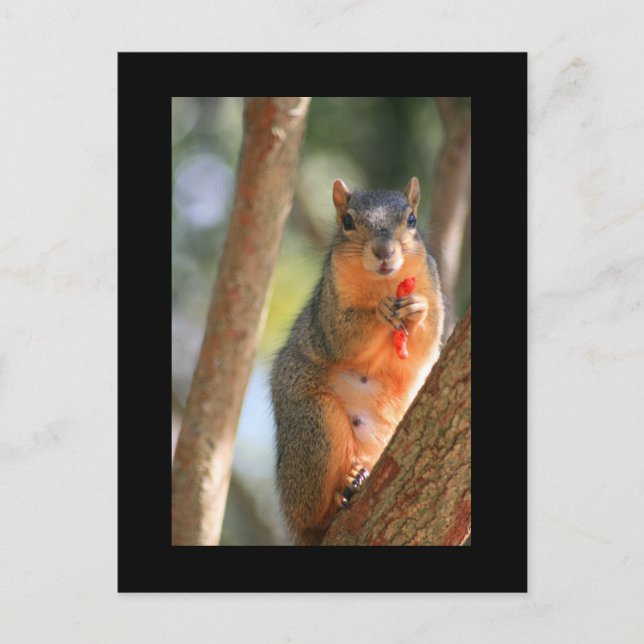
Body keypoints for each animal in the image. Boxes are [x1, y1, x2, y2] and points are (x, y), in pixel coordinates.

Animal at [270, 177, 445, 545]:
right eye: (348, 221)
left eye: (411, 219)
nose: (383, 252)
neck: (384, 284)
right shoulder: (328, 309)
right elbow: (343, 336)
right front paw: (379, 311)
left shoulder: (432, 287)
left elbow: (423, 346)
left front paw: (417, 309)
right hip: (314, 427)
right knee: (312, 516)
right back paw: (341, 494)